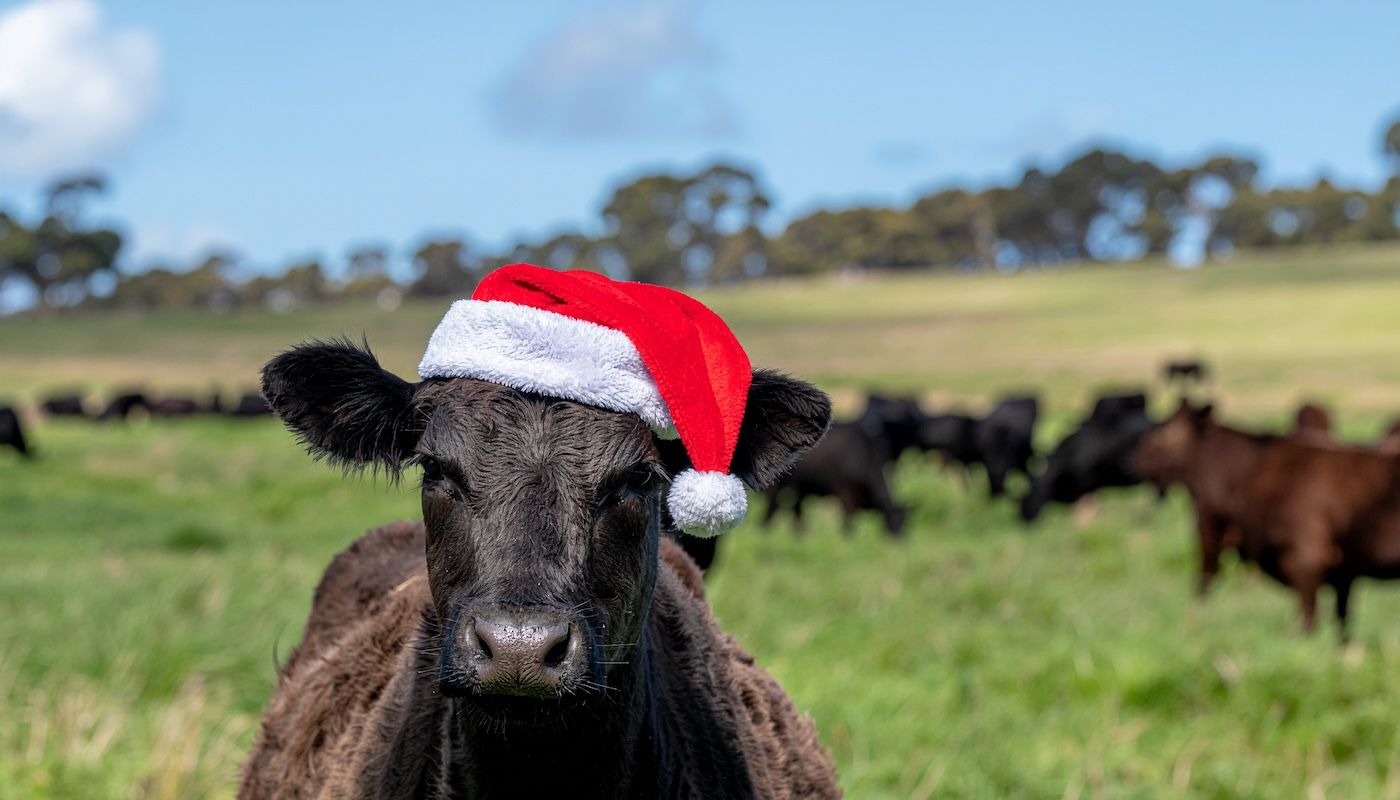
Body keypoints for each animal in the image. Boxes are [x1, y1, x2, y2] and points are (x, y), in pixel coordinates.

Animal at [1134, 400, 1400, 639]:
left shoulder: (1306, 562)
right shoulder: (1344, 574)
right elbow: (1342, 631)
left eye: (1169, 433)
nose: (1137, 457)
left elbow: (1308, 628)